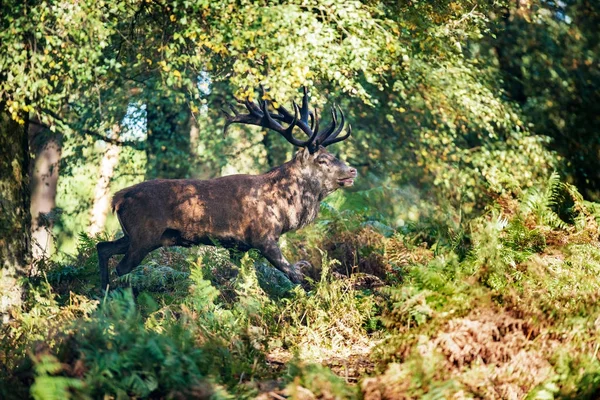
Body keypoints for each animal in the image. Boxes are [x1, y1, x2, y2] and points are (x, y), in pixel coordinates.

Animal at [97, 87, 356, 290]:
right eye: (322, 160)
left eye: (332, 154)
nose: (352, 171)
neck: (283, 208)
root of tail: (117, 199)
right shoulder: (263, 237)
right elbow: (293, 275)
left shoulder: (238, 247)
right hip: (144, 236)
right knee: (121, 268)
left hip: (135, 236)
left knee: (102, 247)